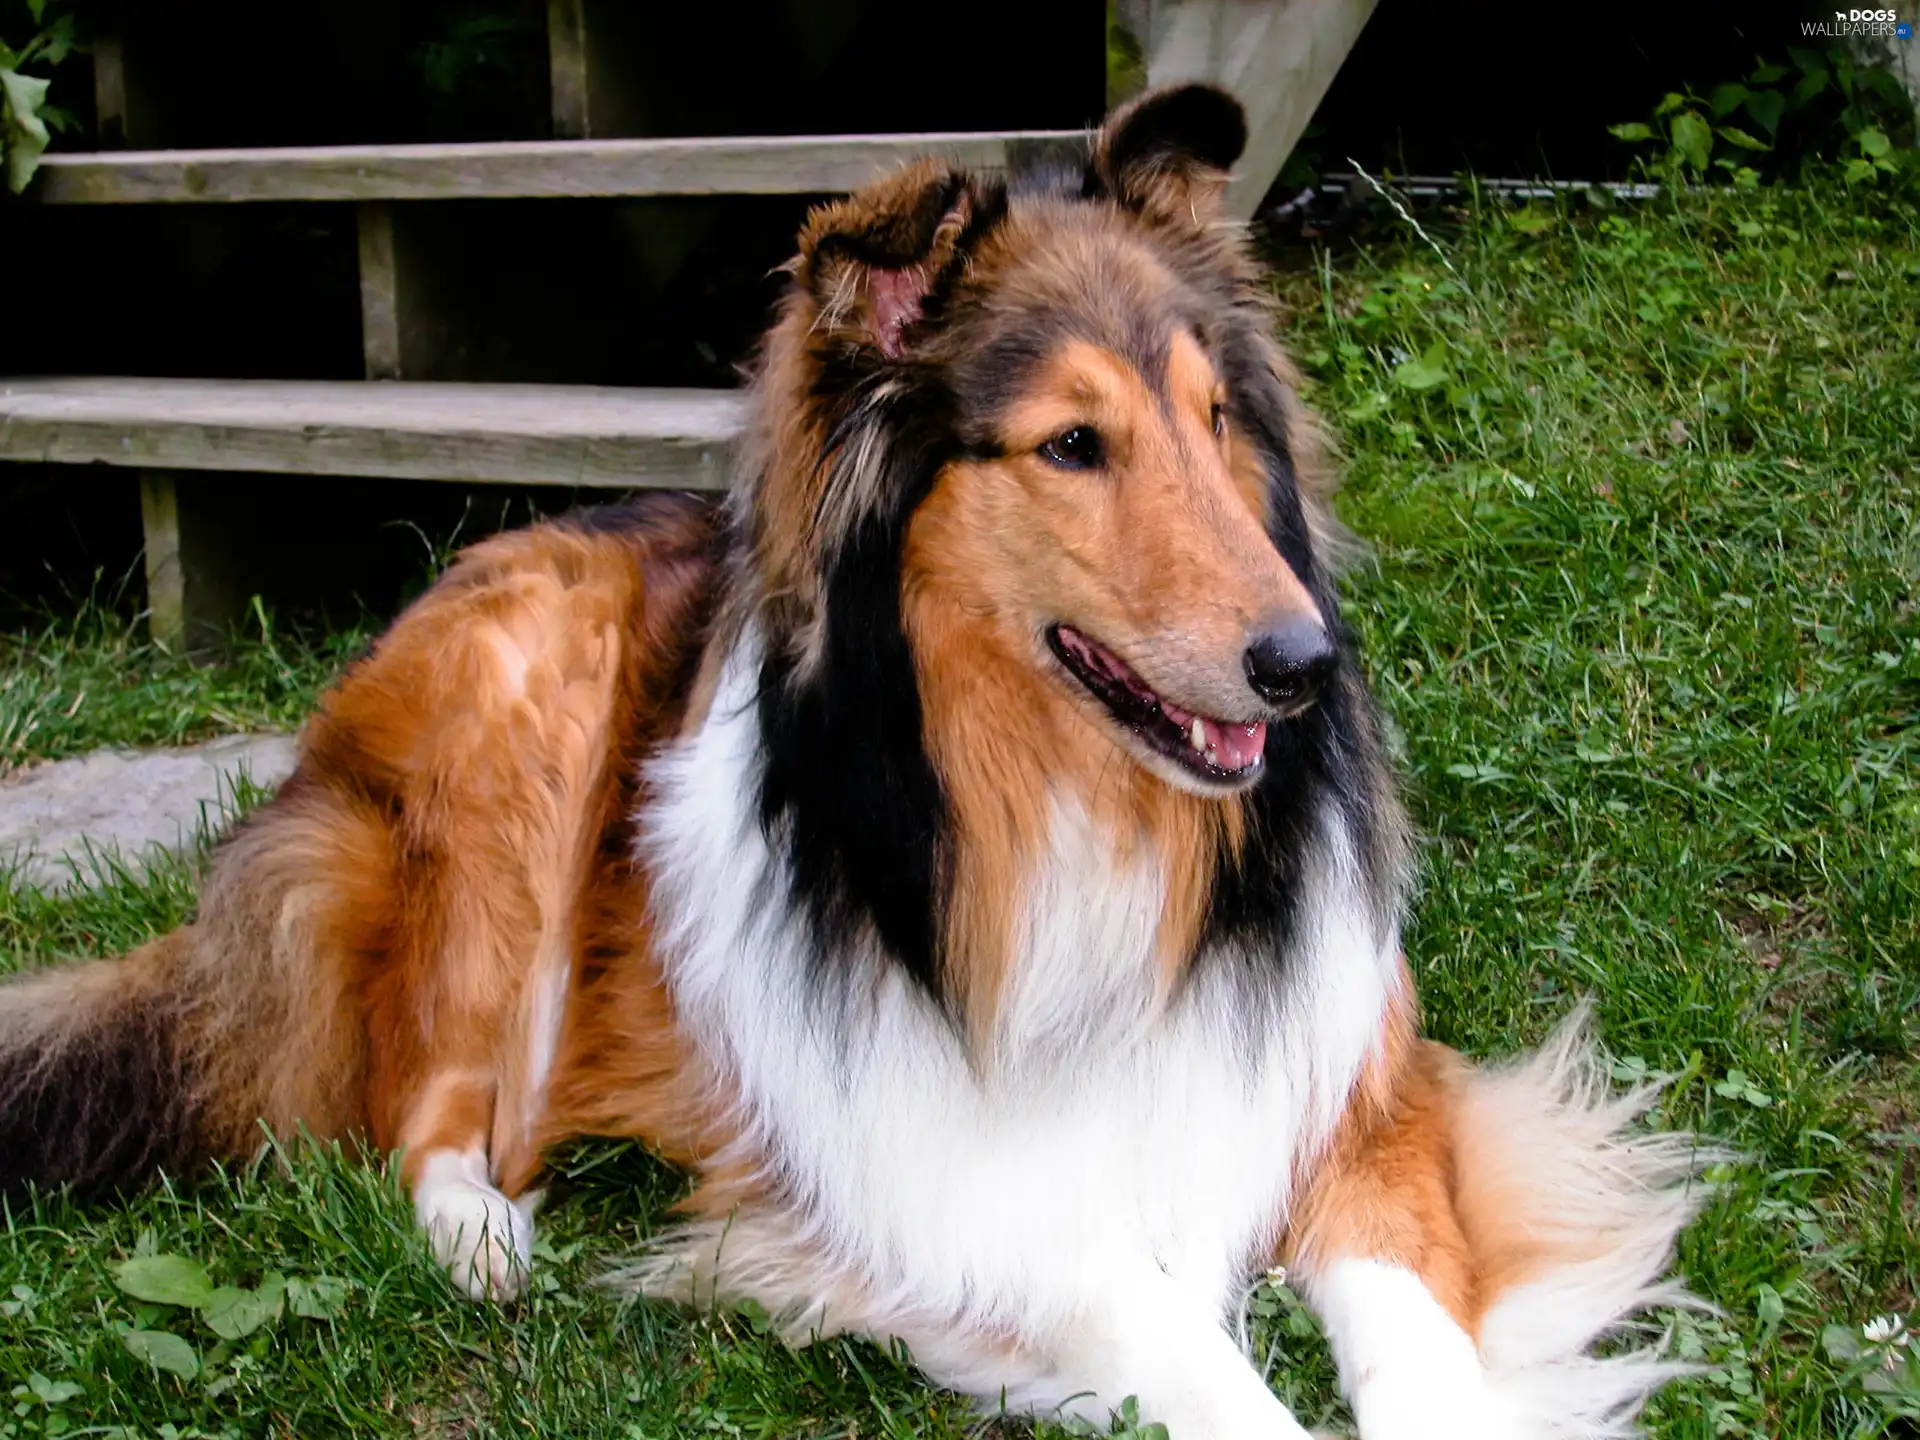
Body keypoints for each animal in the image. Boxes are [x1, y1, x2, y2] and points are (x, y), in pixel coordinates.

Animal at [3, 84, 1712, 1436]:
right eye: (1072, 445)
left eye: (1220, 417)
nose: (1305, 669)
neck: (1080, 807)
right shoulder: (953, 1200)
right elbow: (1192, 1357)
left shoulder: (1360, 1097)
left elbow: (1422, 1348)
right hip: (520, 735)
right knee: (416, 1099)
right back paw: (482, 1232)